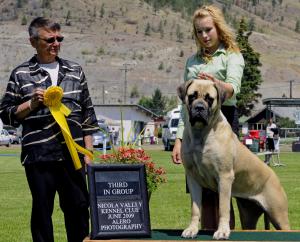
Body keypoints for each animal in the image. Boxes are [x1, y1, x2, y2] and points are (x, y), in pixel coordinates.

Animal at [177, 79, 290, 240]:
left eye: (209, 99)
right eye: (192, 96)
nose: (199, 108)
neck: (201, 133)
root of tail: (273, 175)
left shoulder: (224, 177)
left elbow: (223, 208)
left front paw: (222, 231)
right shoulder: (193, 178)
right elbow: (195, 208)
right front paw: (192, 229)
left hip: (279, 215)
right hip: (248, 215)